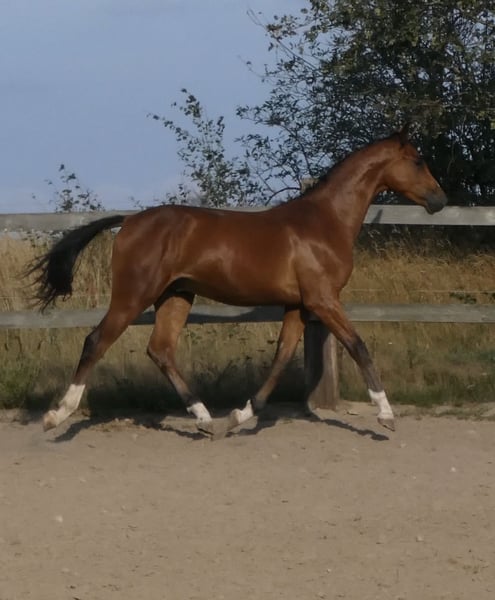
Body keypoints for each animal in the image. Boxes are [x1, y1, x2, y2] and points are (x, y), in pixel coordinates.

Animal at [29, 125, 447, 436]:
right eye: (418, 160)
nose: (439, 200)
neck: (325, 221)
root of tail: (130, 221)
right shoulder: (323, 299)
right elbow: (359, 346)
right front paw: (386, 415)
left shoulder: (298, 304)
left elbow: (281, 357)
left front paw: (240, 415)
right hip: (134, 294)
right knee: (96, 341)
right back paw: (57, 416)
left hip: (176, 295)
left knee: (161, 349)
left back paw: (205, 419)